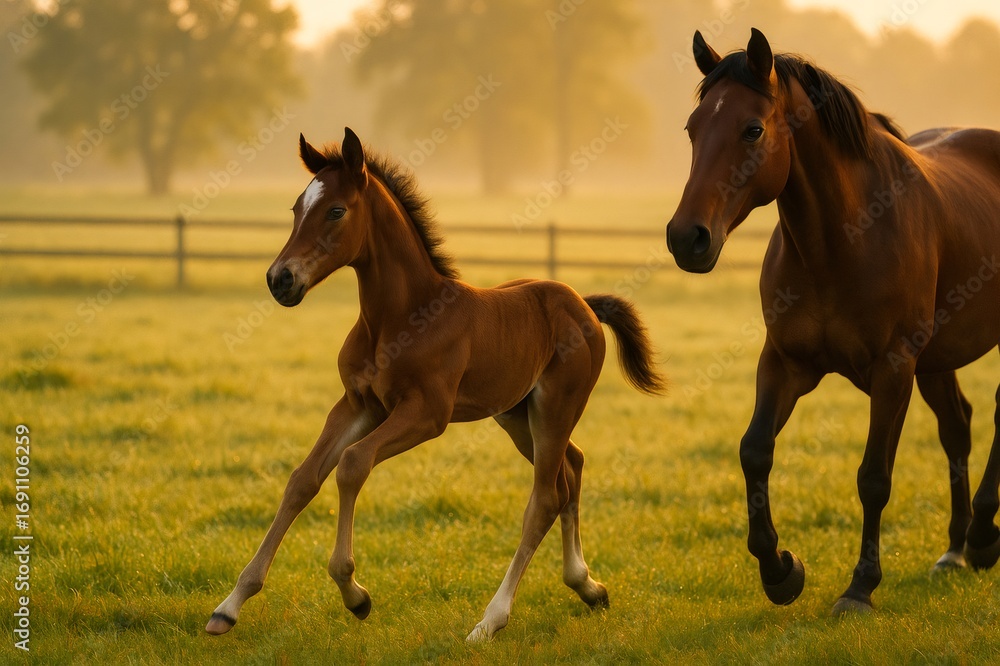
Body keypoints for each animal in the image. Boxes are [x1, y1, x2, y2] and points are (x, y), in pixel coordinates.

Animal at [205, 128, 666, 640]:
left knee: (545, 497)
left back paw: (491, 620)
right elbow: (302, 479)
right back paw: (587, 585)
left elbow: (352, 463)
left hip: (555, 408)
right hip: (516, 416)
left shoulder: (427, 413)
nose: (279, 279)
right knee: (572, 469)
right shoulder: (357, 404)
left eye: (336, 211)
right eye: (294, 209)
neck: (401, 318)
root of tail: (583, 303)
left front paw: (354, 592)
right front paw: (230, 605)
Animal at [666, 28, 1000, 614]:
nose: (688, 238)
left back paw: (982, 537)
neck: (846, 239)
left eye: (753, 129)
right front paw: (781, 571)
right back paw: (956, 549)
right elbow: (754, 451)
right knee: (957, 427)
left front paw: (860, 586)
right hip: (939, 360)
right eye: (693, 128)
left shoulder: (893, 371)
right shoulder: (785, 363)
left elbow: (874, 478)